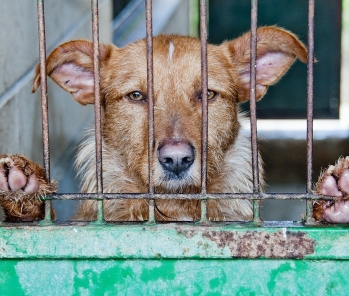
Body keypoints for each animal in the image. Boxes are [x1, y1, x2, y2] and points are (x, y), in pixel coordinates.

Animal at [0, 26, 348, 222]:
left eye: (208, 94)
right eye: (136, 95)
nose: (177, 159)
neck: (176, 208)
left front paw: (333, 202)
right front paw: (25, 191)